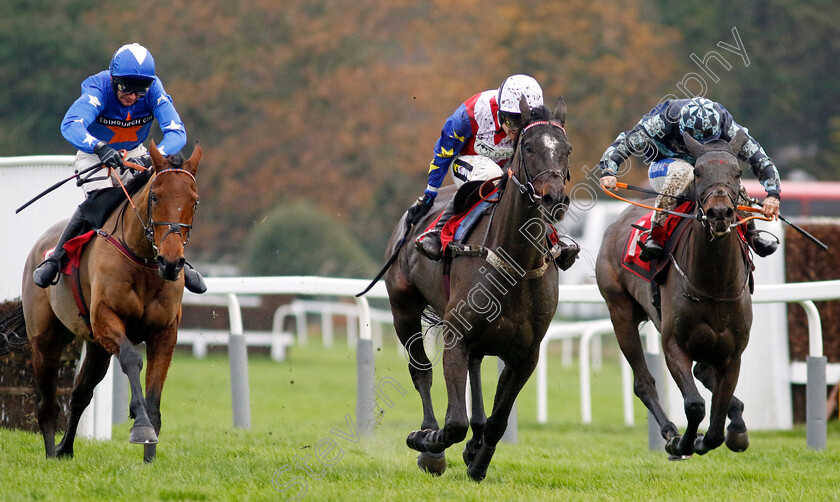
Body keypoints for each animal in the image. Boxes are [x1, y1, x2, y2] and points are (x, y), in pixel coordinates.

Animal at [20, 142, 201, 462]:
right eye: (155, 196)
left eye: (194, 201)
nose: (171, 263)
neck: (144, 262)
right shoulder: (107, 318)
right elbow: (131, 359)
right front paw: (140, 426)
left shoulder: (165, 332)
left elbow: (154, 397)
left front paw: (150, 457)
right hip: (44, 339)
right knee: (47, 403)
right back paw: (52, 452)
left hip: (96, 348)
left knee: (80, 394)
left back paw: (65, 448)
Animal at [386, 96, 572, 480]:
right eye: (529, 147)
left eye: (567, 149)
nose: (554, 199)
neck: (515, 266)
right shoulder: (456, 336)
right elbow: (454, 422)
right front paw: (430, 443)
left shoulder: (526, 355)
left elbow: (499, 421)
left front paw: (478, 461)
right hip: (403, 311)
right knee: (421, 372)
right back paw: (429, 435)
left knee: (474, 373)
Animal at [596, 131, 756, 456]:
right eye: (698, 172)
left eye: (738, 173)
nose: (719, 213)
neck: (713, 285)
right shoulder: (673, 344)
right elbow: (695, 405)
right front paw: (684, 442)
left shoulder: (734, 353)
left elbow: (718, 414)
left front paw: (729, 433)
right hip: (620, 312)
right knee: (643, 382)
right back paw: (670, 431)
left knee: (705, 373)